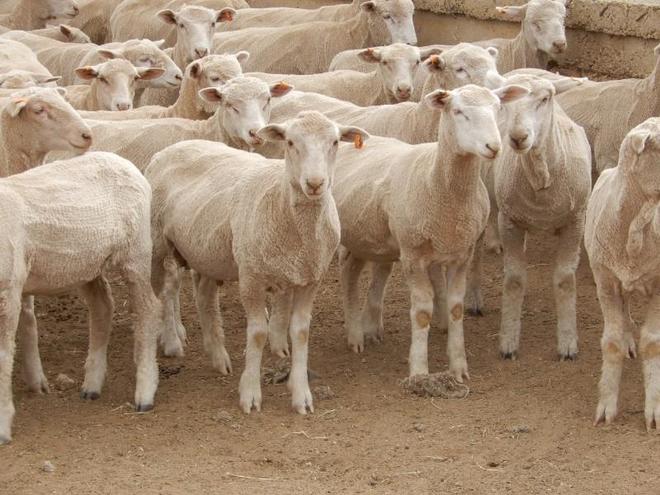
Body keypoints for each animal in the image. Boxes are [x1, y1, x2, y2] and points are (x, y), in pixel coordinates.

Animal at [0, 150, 161, 444]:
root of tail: (123, 162)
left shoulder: (9, 290)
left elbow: (3, 357)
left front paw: (2, 426)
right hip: (88, 265)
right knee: (103, 306)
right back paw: (92, 385)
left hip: (136, 251)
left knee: (148, 310)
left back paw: (145, 392)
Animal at [145, 111, 368, 414]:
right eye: (290, 142)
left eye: (334, 142)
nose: (314, 183)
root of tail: (170, 149)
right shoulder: (251, 278)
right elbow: (258, 334)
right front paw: (250, 393)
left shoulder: (311, 279)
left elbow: (300, 332)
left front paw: (301, 395)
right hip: (159, 244)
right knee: (164, 292)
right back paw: (169, 342)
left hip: (207, 250)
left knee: (204, 296)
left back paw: (218, 356)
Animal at [323, 84, 527, 374]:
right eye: (457, 111)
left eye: (498, 108)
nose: (493, 146)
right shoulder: (413, 256)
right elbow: (421, 314)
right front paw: (419, 370)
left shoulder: (460, 255)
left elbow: (455, 309)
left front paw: (458, 367)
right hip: (351, 237)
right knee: (348, 274)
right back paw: (355, 336)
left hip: (369, 237)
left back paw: (368, 329)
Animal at [474, 74, 591, 361]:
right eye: (505, 104)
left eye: (545, 99)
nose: (517, 137)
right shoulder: (509, 222)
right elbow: (515, 279)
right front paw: (508, 341)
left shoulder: (576, 222)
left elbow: (564, 280)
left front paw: (568, 343)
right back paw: (474, 301)